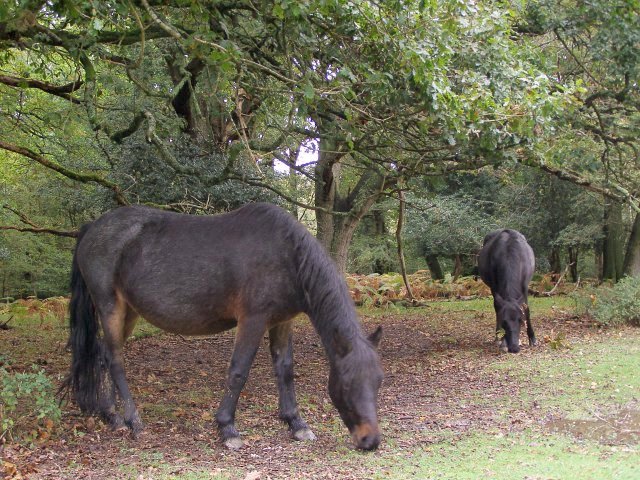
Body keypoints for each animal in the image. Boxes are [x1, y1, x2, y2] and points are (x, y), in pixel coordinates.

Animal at [61, 202, 380, 450]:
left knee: (103, 357)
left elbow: (285, 370)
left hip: (129, 312)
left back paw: (112, 416)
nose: (371, 440)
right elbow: (238, 371)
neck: (286, 254)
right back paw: (133, 420)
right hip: (109, 308)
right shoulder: (253, 320)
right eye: (347, 384)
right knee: (115, 360)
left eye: (378, 382)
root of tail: (92, 227)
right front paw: (227, 428)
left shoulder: (282, 322)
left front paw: (296, 423)